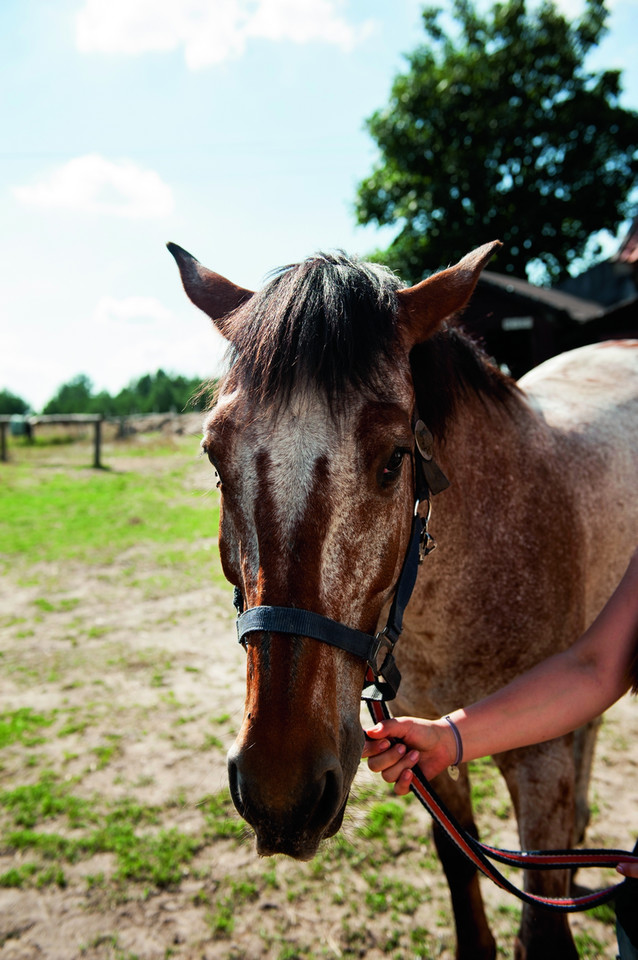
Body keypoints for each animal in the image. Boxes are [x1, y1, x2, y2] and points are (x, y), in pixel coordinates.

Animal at [168, 242, 636, 960]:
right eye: (216, 460)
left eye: (393, 459)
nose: (280, 792)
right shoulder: (427, 738)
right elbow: (457, 865)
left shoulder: (540, 761)